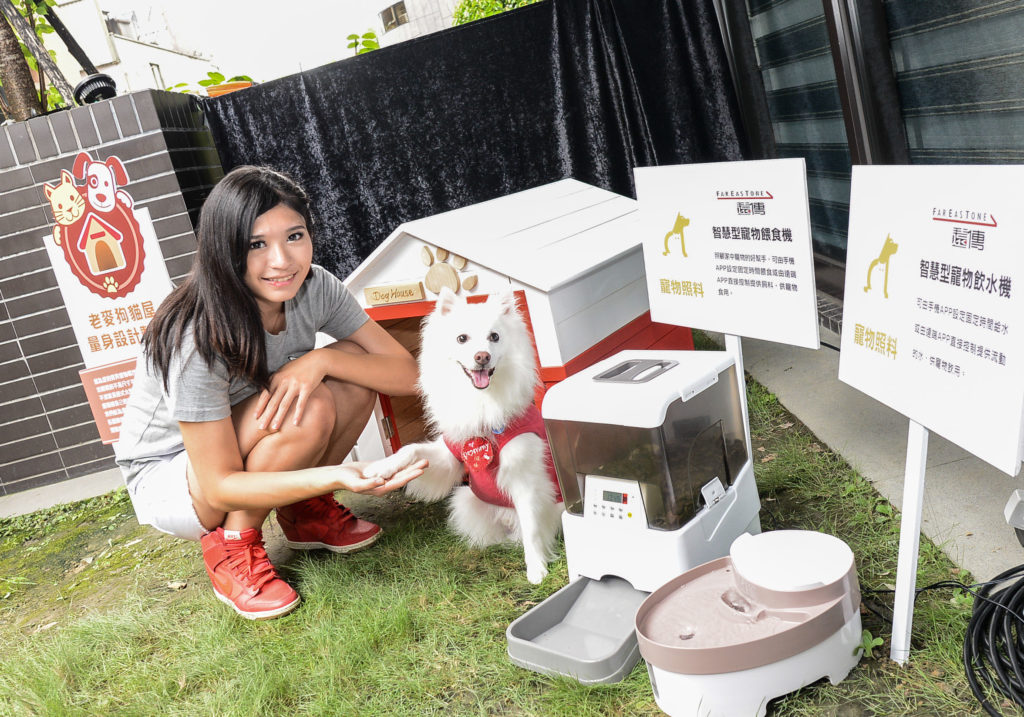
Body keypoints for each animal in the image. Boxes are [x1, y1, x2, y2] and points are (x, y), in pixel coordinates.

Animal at [364, 284, 565, 581]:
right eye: (462, 338)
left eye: (494, 337)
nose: (482, 356)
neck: (481, 399)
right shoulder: (450, 456)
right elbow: (410, 449)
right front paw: (381, 468)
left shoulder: (524, 477)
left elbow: (531, 528)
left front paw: (536, 568)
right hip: (465, 500)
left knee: (525, 532)